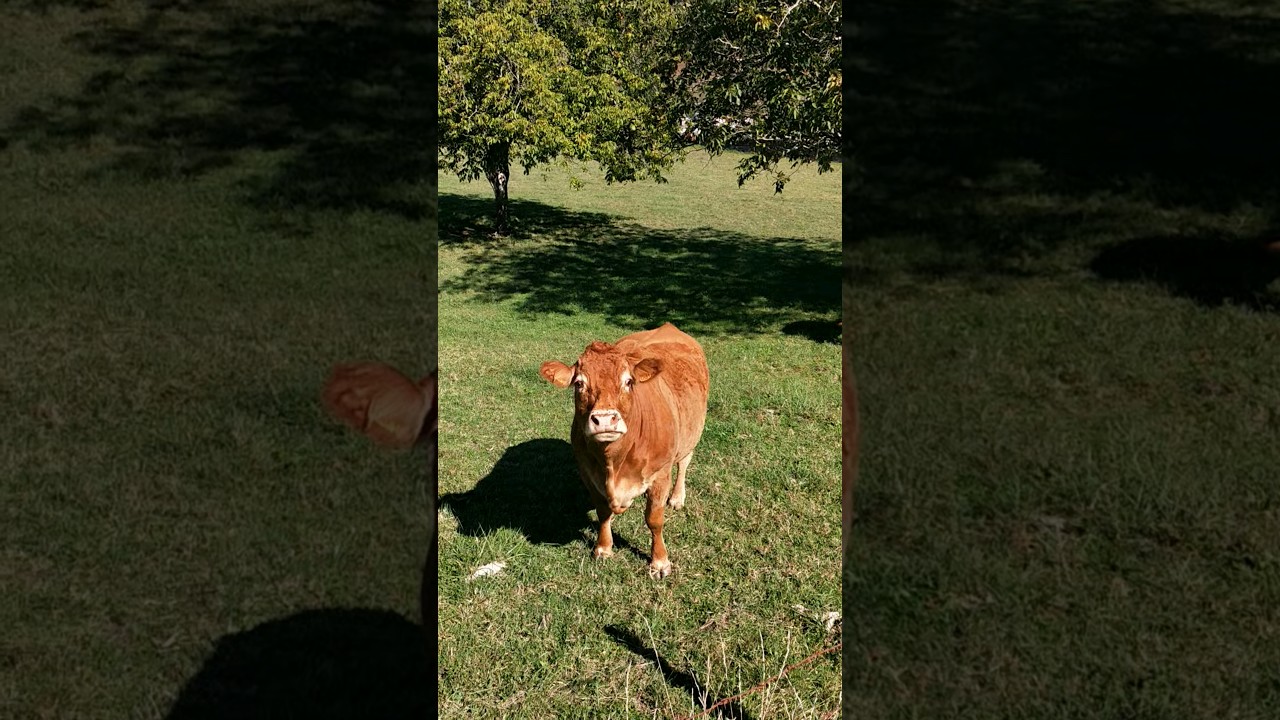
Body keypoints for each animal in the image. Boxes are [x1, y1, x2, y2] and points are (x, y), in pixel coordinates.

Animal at [539, 323, 710, 579]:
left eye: (628, 381)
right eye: (579, 383)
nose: (604, 420)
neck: (614, 464)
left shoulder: (660, 474)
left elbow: (654, 520)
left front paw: (660, 562)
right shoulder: (588, 474)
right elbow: (602, 513)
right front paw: (603, 548)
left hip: (691, 434)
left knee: (684, 463)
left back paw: (677, 497)